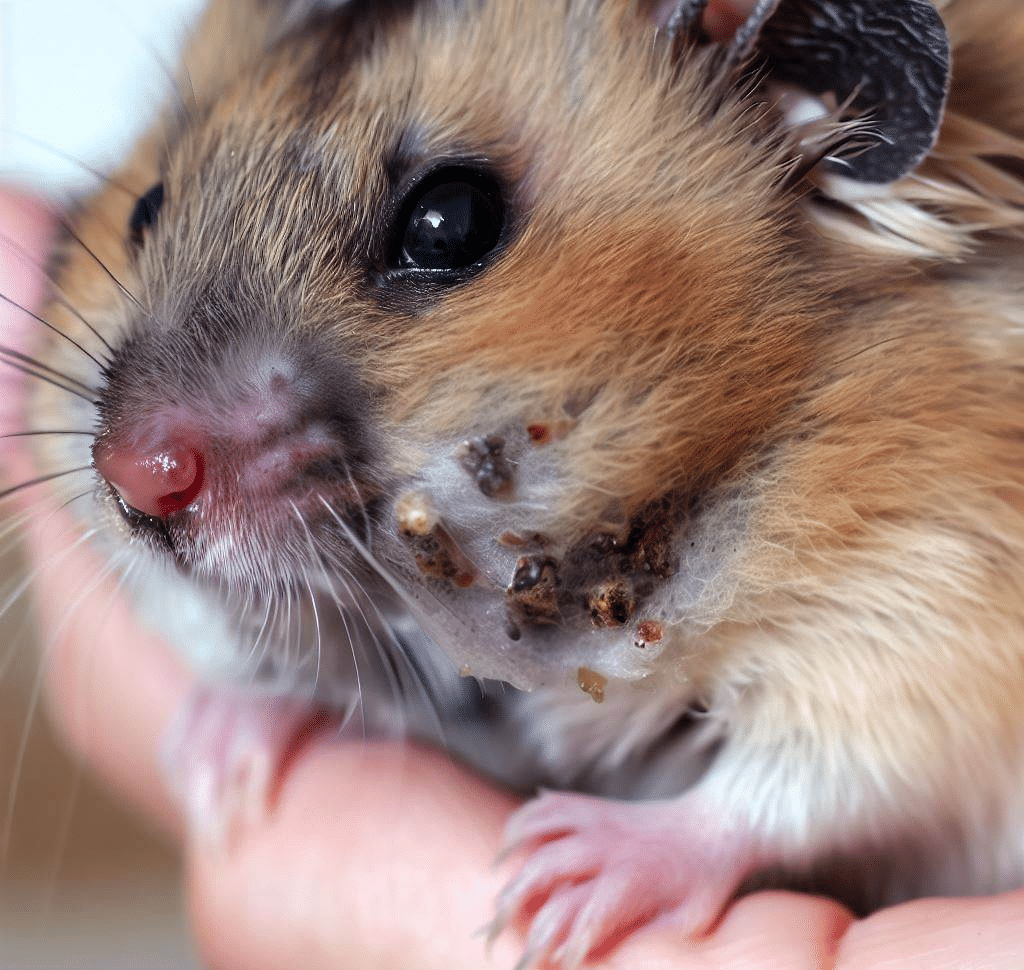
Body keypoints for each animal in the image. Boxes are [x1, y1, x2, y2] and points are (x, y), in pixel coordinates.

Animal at [16, 0, 1024, 966]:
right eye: (147, 205)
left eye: (449, 221)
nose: (138, 483)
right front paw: (211, 763)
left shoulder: (929, 607)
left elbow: (796, 785)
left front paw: (554, 882)